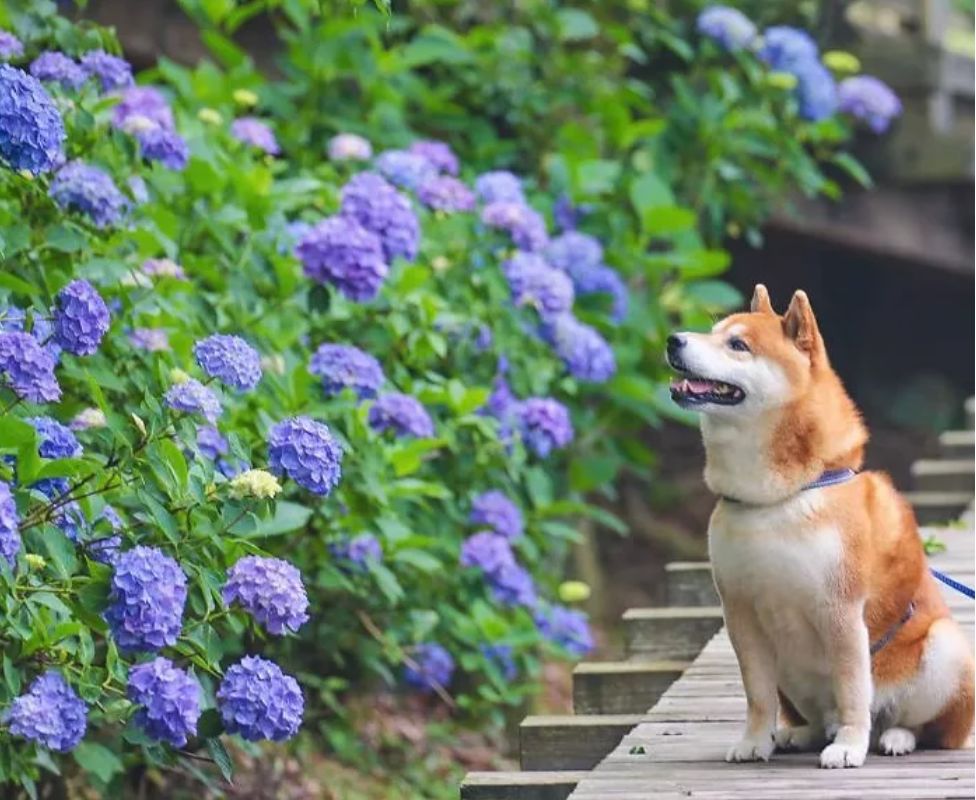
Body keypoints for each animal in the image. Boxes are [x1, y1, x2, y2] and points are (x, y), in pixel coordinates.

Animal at [668, 286, 972, 768]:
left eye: (737, 345)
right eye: (713, 332)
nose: (673, 340)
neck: (775, 502)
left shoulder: (840, 610)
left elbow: (851, 691)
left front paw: (848, 745)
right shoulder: (740, 614)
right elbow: (757, 696)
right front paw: (754, 740)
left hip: (943, 650)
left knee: (924, 727)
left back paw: (893, 737)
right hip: (790, 674)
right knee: (807, 714)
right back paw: (801, 733)